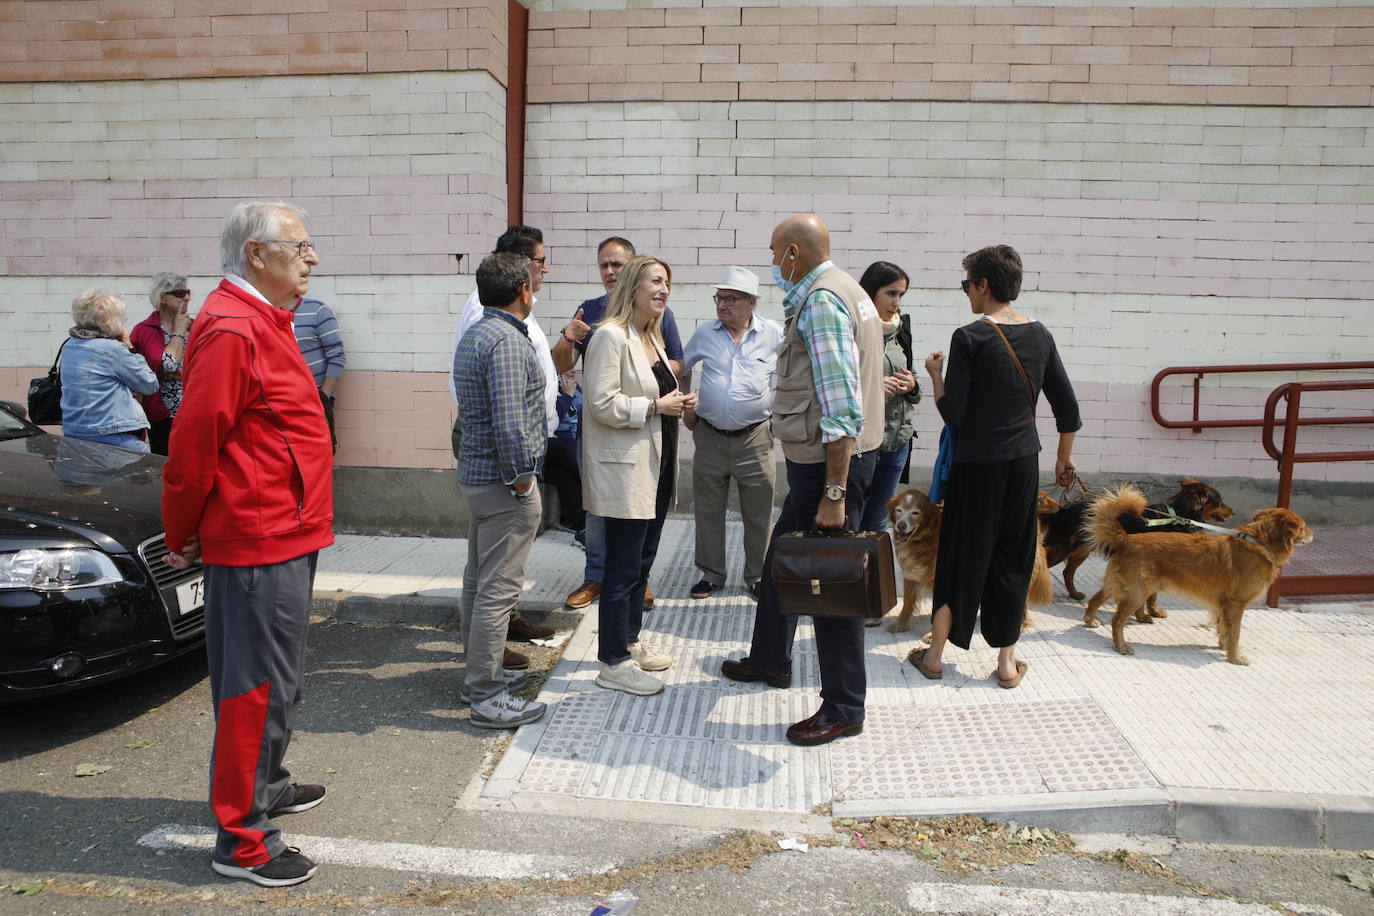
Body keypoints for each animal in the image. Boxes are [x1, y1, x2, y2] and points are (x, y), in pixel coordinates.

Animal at [879, 491, 1049, 634]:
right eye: (899, 510)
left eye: (915, 513)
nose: (901, 525)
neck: (925, 537)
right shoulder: (911, 573)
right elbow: (907, 603)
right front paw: (900, 624)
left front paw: (932, 635)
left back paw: (1019, 625)